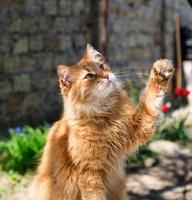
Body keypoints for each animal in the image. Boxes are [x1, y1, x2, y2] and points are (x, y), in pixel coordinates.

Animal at [28, 44, 174, 199]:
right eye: (89, 75)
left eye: (101, 66)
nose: (106, 75)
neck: (106, 116)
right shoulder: (90, 173)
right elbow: (95, 196)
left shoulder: (141, 124)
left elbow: (151, 96)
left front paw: (162, 70)